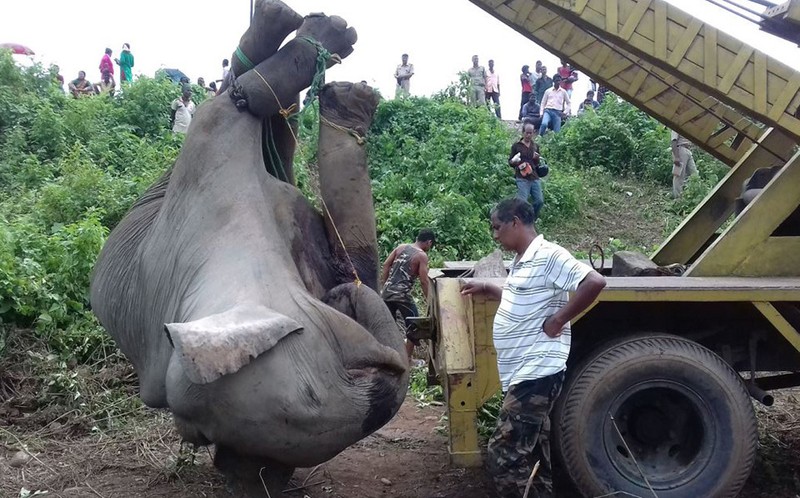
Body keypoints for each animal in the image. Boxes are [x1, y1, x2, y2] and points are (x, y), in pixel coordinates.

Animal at [90, 1, 410, 496]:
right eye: (199, 432)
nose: (192, 437)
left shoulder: (212, 174)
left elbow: (242, 106)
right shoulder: (213, 174)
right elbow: (242, 108)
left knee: (254, 106)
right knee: (258, 111)